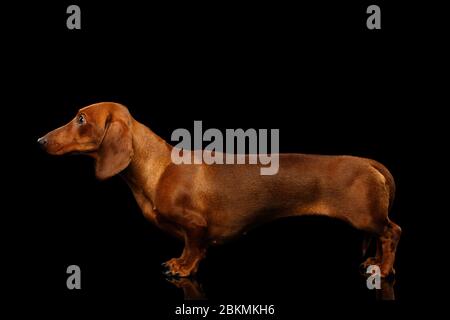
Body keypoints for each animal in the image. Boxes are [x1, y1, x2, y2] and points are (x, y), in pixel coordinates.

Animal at [39, 102, 400, 278]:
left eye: (81, 119)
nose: (40, 140)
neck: (158, 167)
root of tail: (369, 162)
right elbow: (191, 248)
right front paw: (180, 262)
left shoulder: (196, 226)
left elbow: (194, 248)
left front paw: (182, 268)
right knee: (381, 237)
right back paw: (374, 262)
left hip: (366, 217)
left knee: (391, 233)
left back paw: (383, 270)